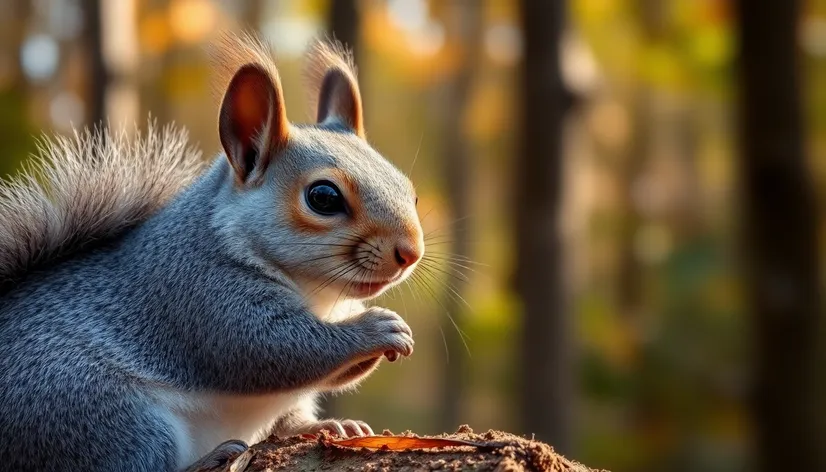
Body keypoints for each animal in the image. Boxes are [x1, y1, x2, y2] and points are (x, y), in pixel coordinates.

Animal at [0, 34, 422, 472]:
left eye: (410, 191)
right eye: (323, 197)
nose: (411, 252)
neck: (318, 294)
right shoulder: (202, 292)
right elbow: (276, 349)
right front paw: (377, 328)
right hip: (103, 413)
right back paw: (210, 458)